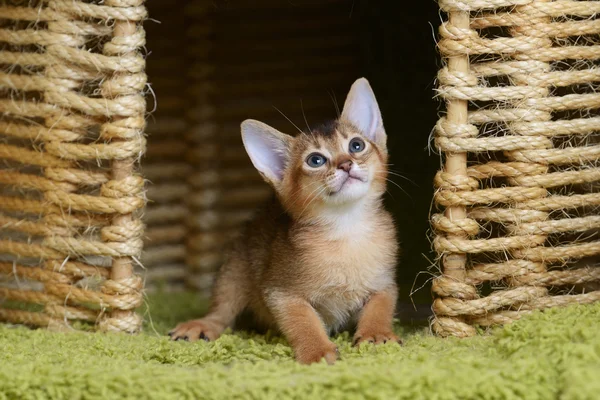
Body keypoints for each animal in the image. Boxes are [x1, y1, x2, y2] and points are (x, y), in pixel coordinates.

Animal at [169, 78, 400, 366]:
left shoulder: (385, 283)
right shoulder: (281, 291)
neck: (347, 230)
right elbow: (303, 320)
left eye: (356, 145)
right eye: (315, 160)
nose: (346, 164)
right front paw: (317, 351)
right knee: (222, 312)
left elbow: (381, 305)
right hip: (235, 269)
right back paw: (202, 325)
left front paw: (376, 334)